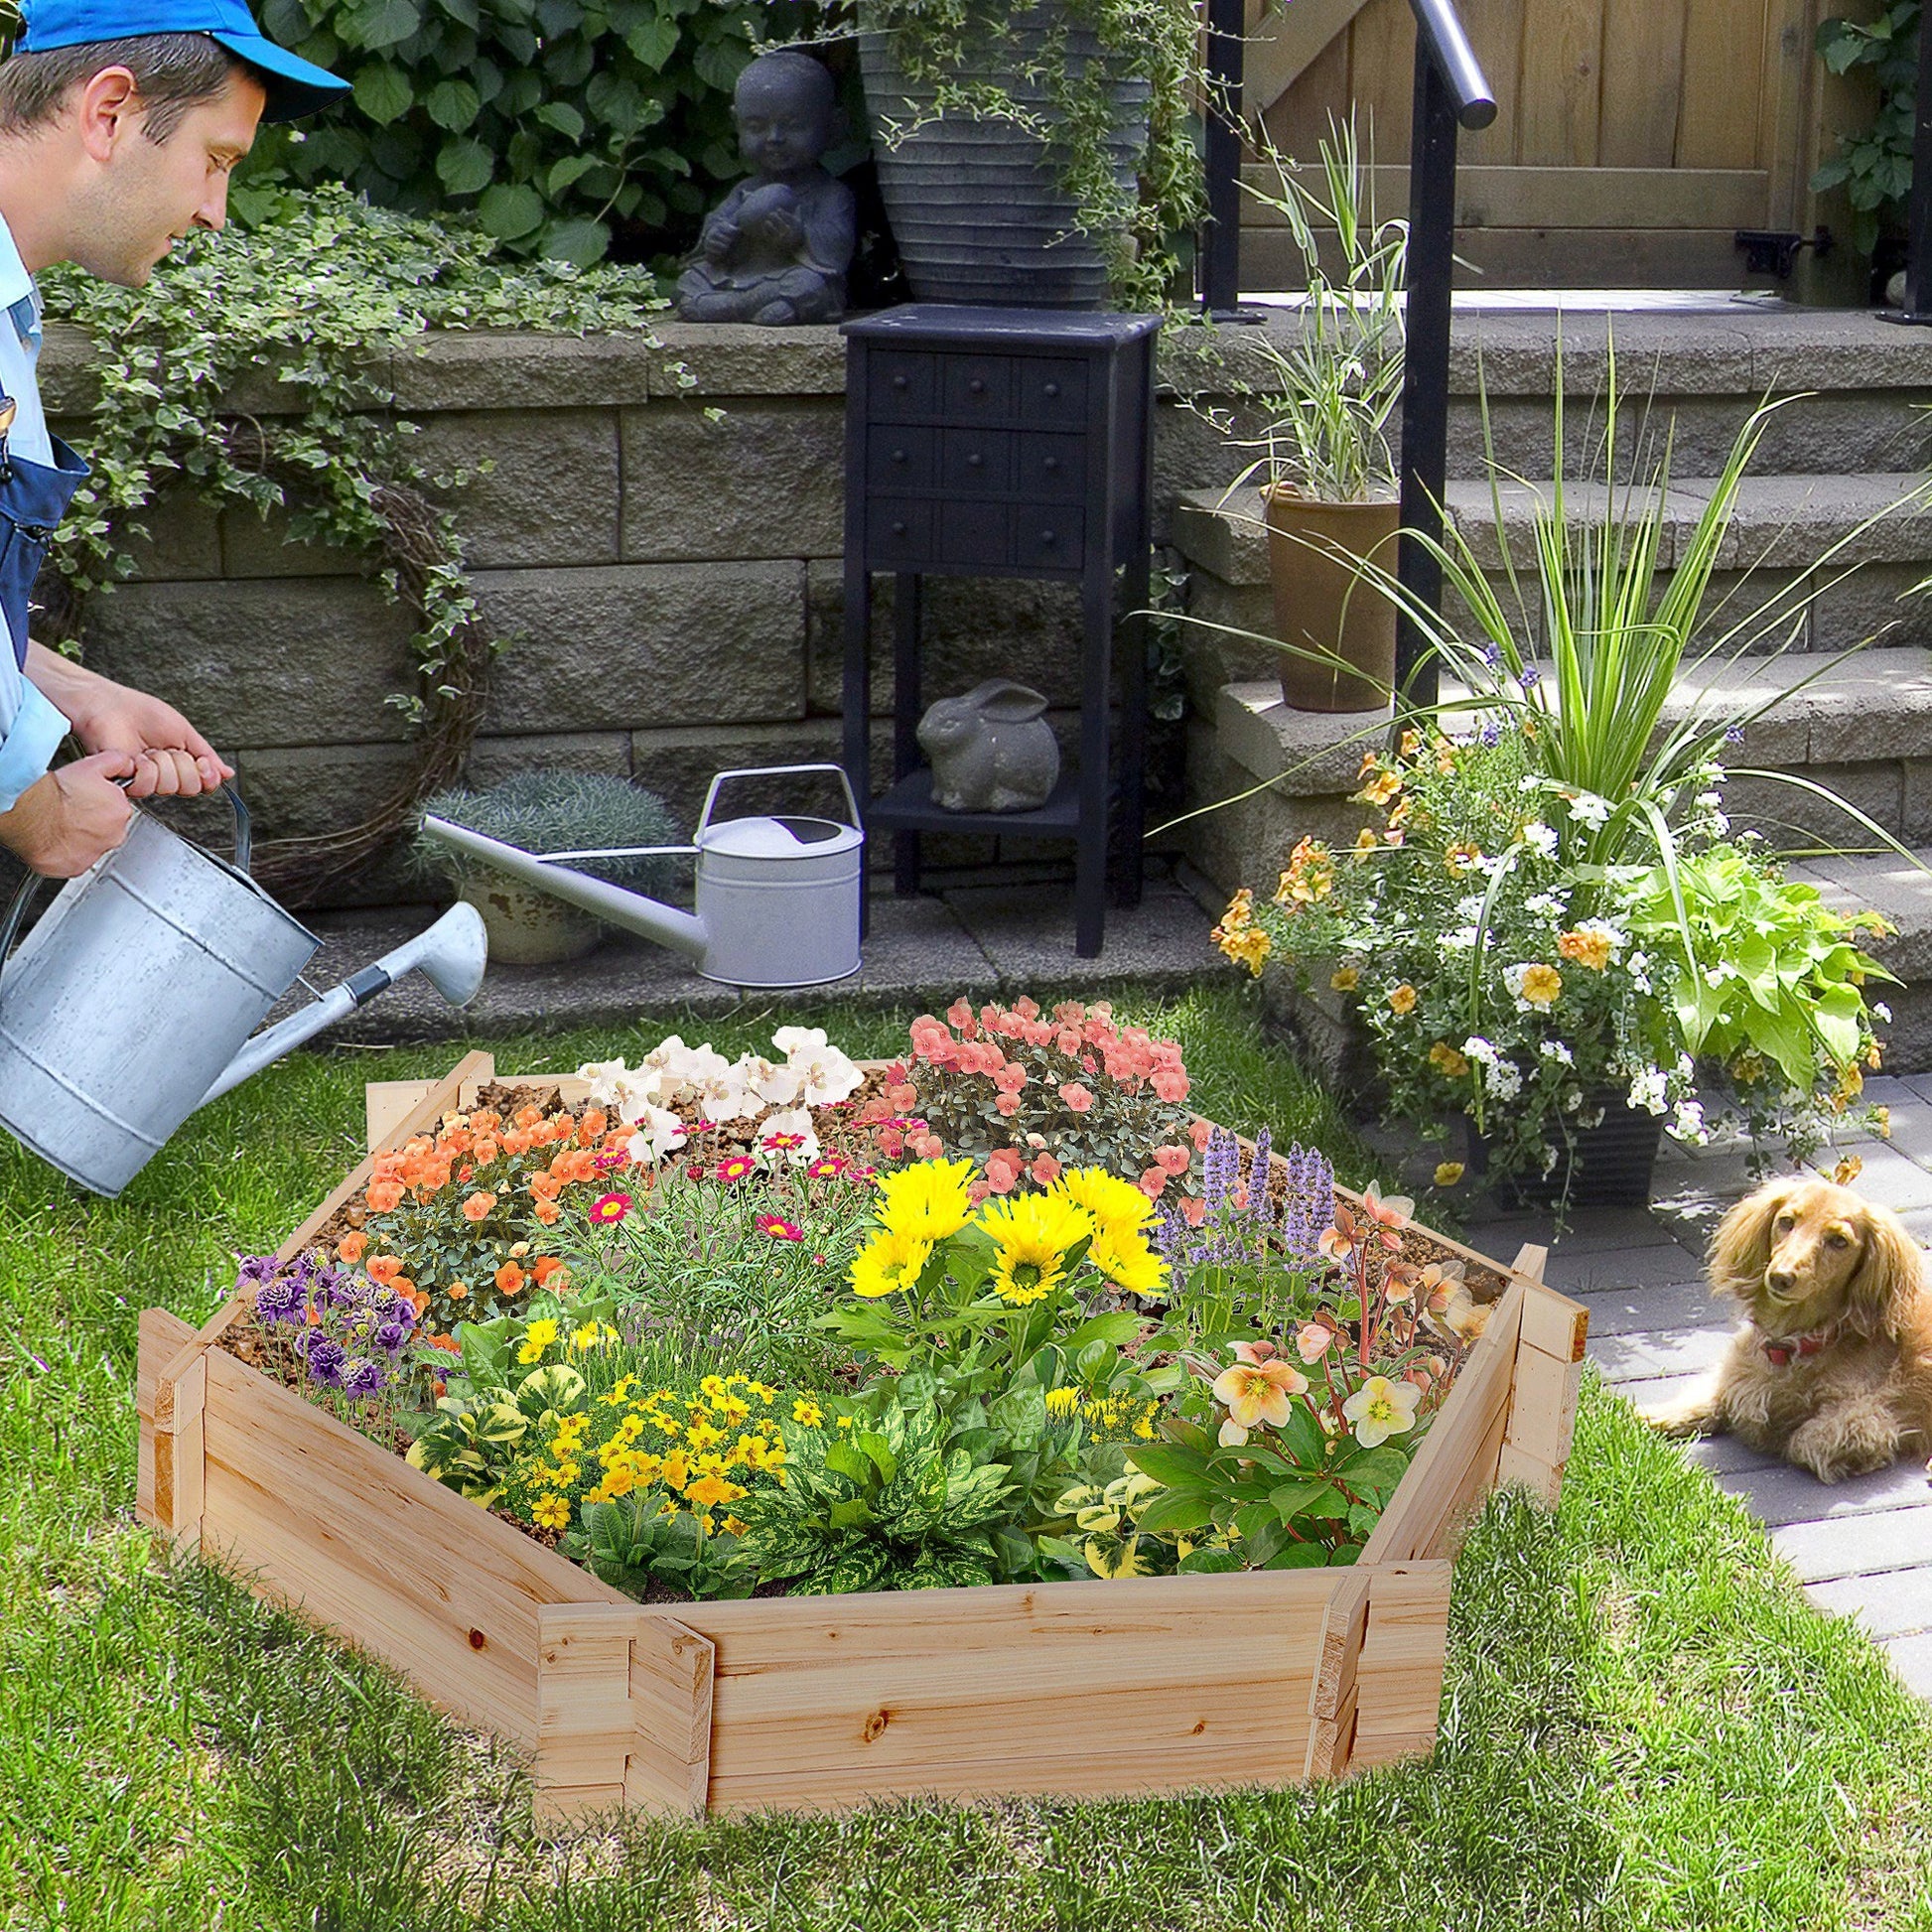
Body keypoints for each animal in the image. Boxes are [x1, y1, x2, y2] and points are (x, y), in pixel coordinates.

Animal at [1638, 1174, 1932, 1475]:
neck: (1793, 1345)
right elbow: (1715, 1393)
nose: (1780, 1277)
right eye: (1786, 1221)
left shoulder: (1865, 1415)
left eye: (1839, 1241)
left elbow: (1803, 1440)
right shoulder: (1737, 1373)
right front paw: (1656, 1414)